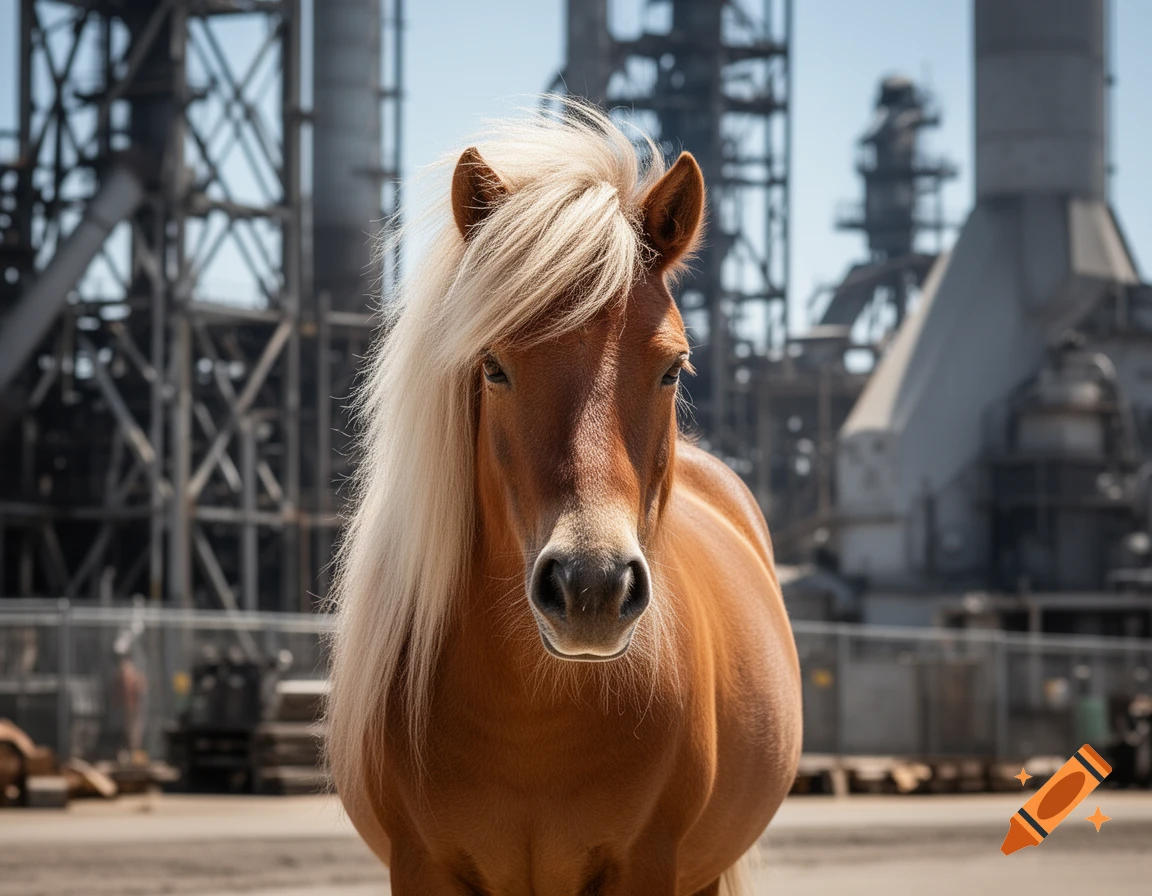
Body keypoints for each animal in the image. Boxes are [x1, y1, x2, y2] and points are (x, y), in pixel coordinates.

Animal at [326, 101, 802, 896]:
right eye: (493, 366)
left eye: (673, 367)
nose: (592, 588)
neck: (534, 714)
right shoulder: (420, 864)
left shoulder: (649, 865)